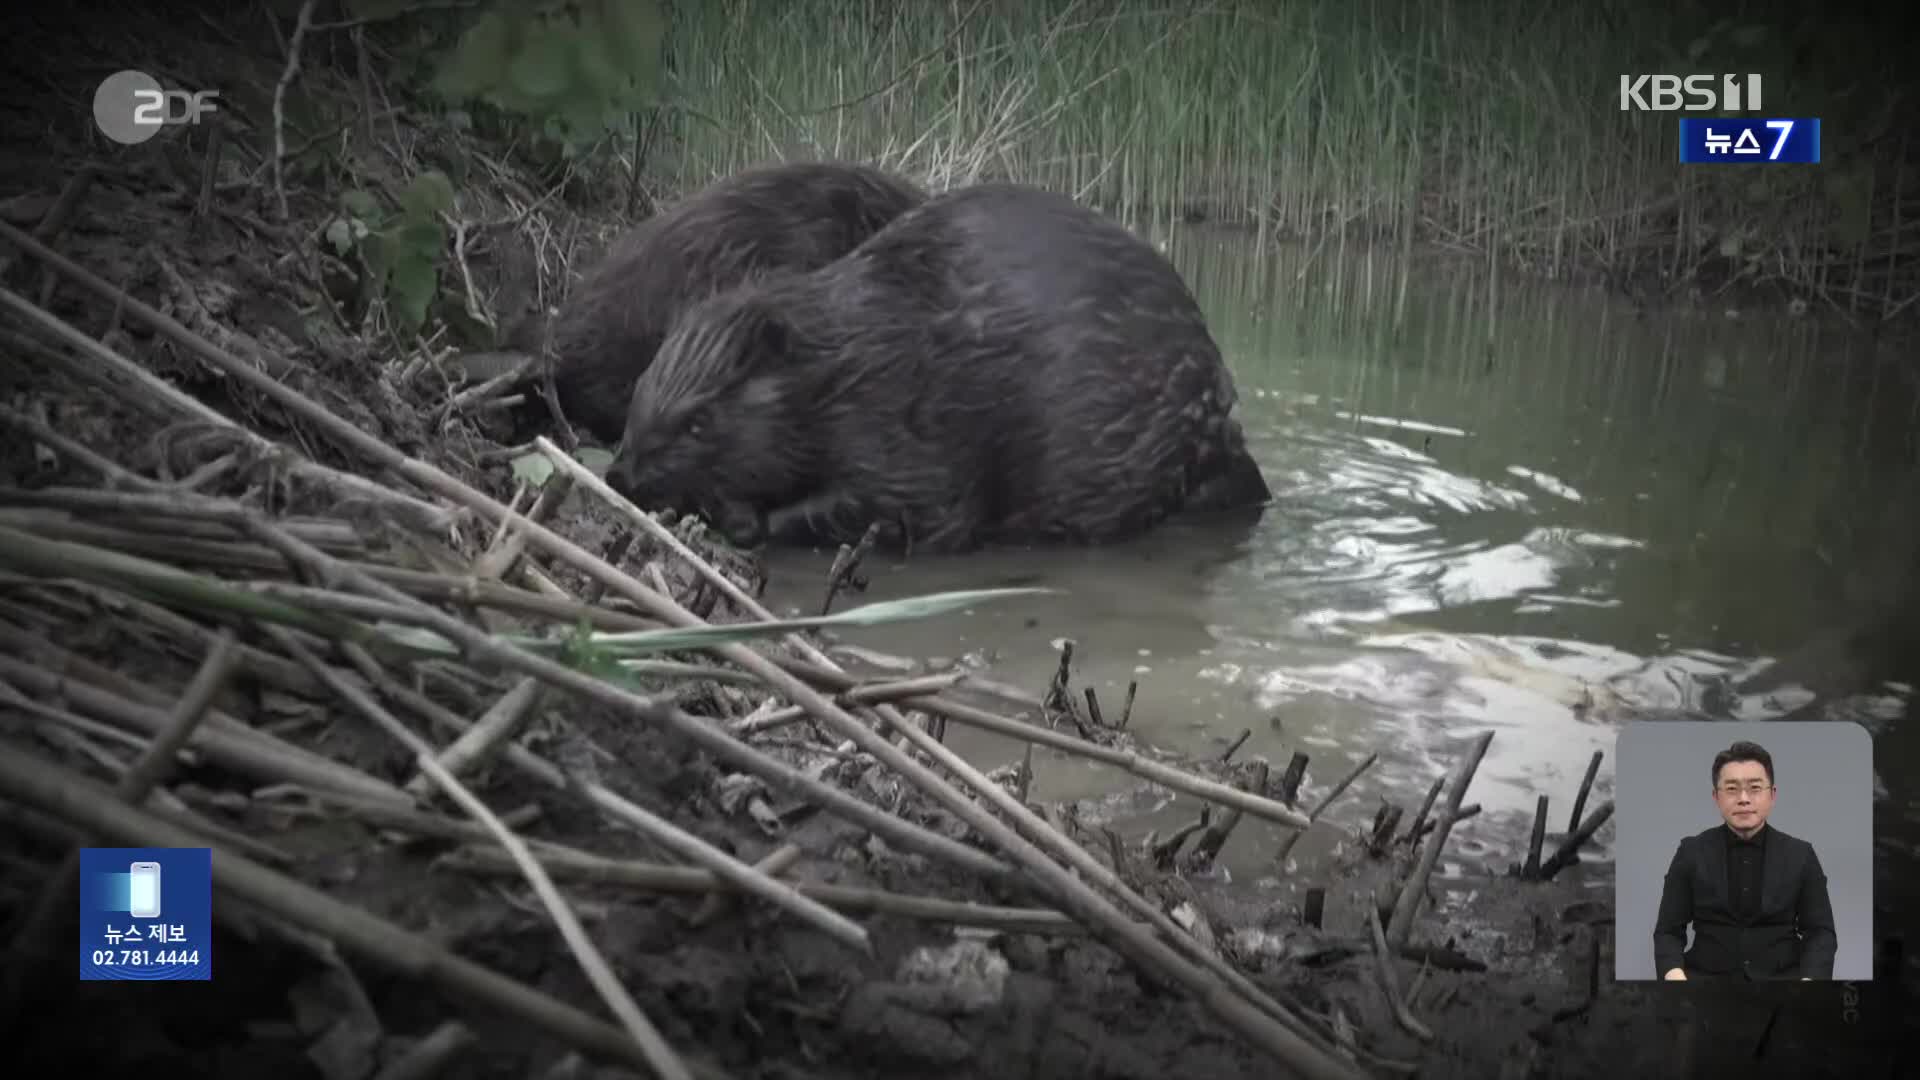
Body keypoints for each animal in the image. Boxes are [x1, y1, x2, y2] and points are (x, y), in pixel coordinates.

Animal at [606, 181, 1267, 549]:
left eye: (698, 420)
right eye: (638, 389)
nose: (620, 474)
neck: (852, 357)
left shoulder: (910, 432)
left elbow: (909, 510)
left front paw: (744, 520)